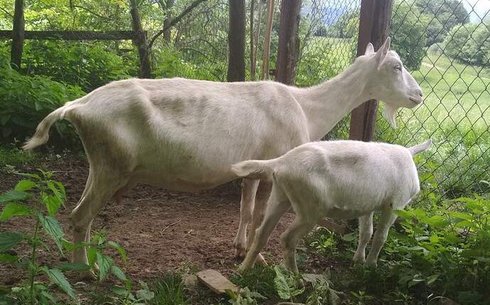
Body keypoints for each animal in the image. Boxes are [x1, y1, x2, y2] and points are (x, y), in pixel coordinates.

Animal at [232, 138, 430, 270]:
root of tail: (281, 162)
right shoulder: (396, 204)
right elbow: (381, 236)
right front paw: (371, 265)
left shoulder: (368, 206)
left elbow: (366, 233)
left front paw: (358, 261)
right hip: (310, 208)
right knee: (288, 238)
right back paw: (294, 276)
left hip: (280, 195)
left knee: (262, 233)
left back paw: (244, 270)